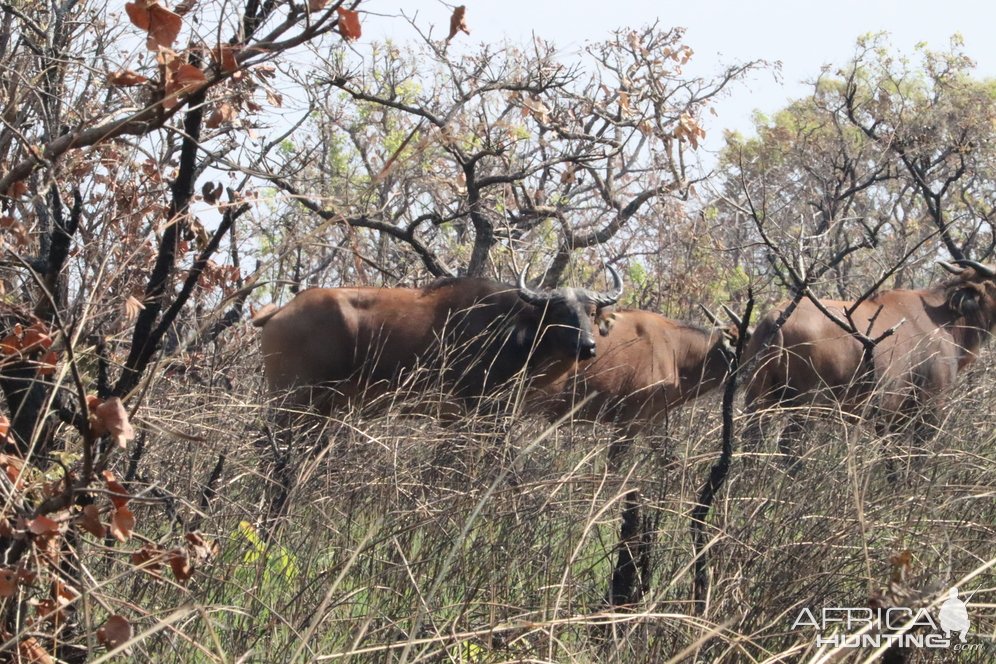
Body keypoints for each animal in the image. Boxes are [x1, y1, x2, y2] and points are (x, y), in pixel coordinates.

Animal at [740, 260, 996, 462]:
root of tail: (777, 318)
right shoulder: (928, 409)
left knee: (751, 442)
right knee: (790, 447)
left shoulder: (890, 418)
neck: (944, 320)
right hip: (807, 407)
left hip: (758, 399)